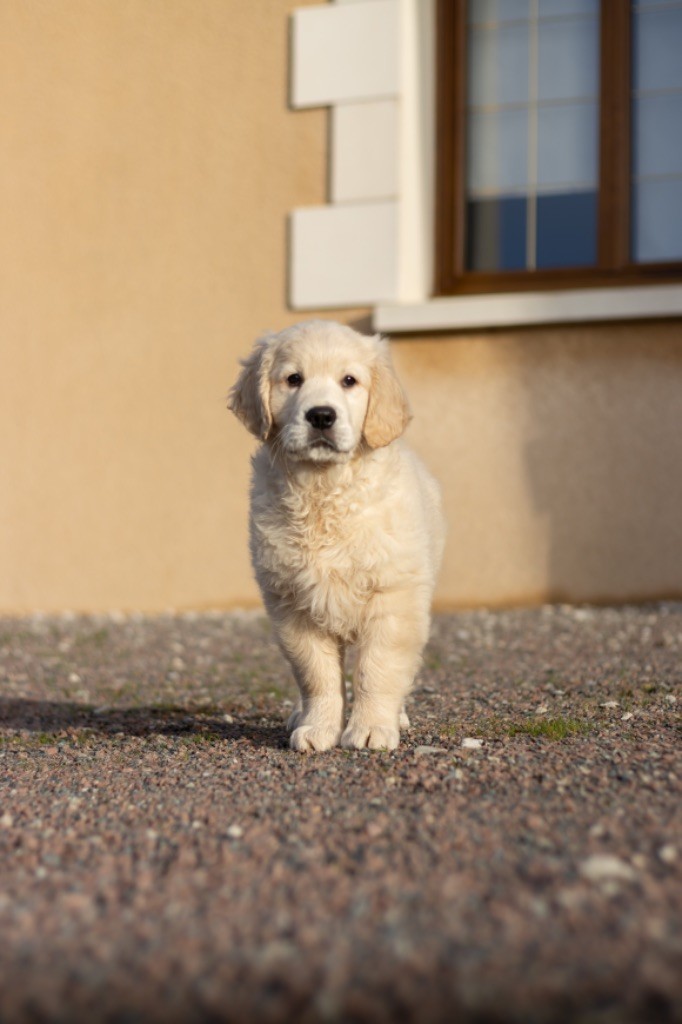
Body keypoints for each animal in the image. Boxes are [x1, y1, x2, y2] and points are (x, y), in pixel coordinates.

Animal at [225, 319, 444, 753]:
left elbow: (378, 669)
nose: (321, 416)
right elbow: (316, 675)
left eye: (349, 381)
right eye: (293, 379)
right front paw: (319, 727)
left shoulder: (393, 598)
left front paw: (372, 727)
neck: (324, 491)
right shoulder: (293, 604)